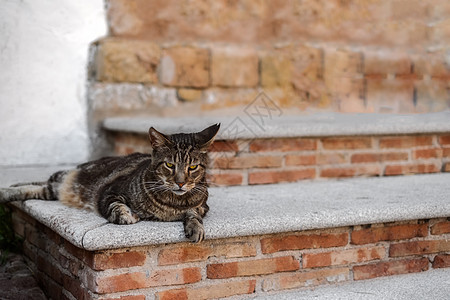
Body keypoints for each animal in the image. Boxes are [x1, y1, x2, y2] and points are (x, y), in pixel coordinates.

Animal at [0, 123, 219, 243]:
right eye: (169, 165)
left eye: (193, 167)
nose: (181, 183)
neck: (172, 203)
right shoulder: (109, 192)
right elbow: (115, 208)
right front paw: (128, 216)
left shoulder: (203, 206)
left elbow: (194, 212)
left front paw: (195, 227)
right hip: (63, 180)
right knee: (38, 185)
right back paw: (5, 191)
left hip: (52, 189)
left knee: (37, 188)